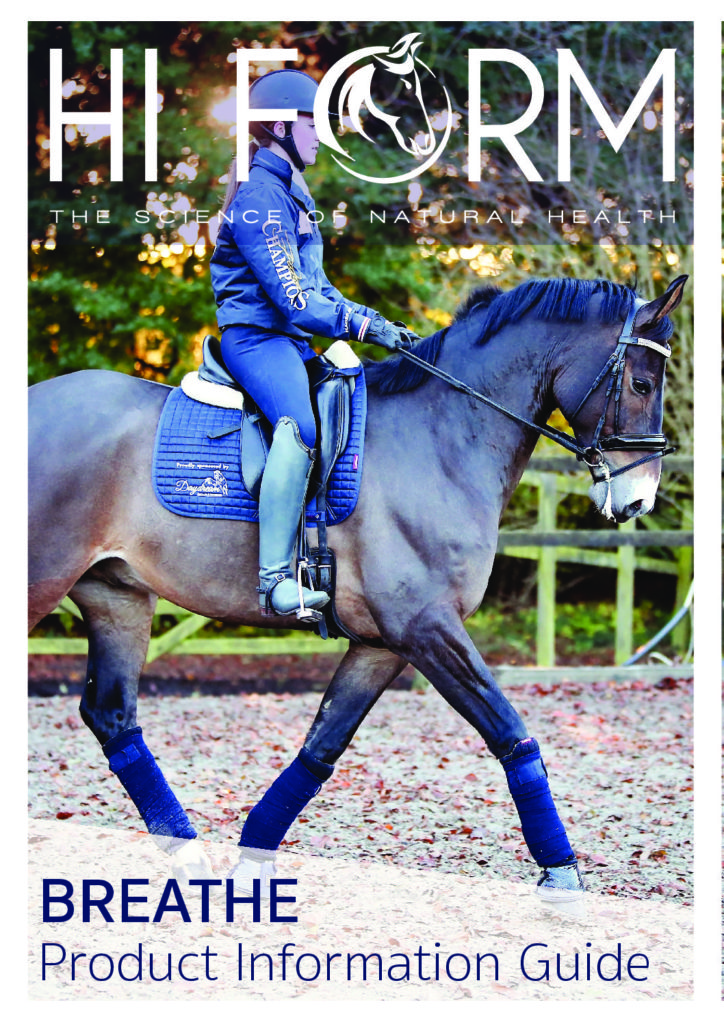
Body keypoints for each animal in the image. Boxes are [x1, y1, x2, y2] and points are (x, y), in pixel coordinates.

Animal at [28, 274, 687, 900]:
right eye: (642, 385)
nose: (639, 499)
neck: (441, 440)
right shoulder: (426, 627)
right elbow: (510, 732)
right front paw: (562, 872)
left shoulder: (382, 644)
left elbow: (322, 748)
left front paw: (253, 859)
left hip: (117, 598)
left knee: (113, 718)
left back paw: (187, 857)